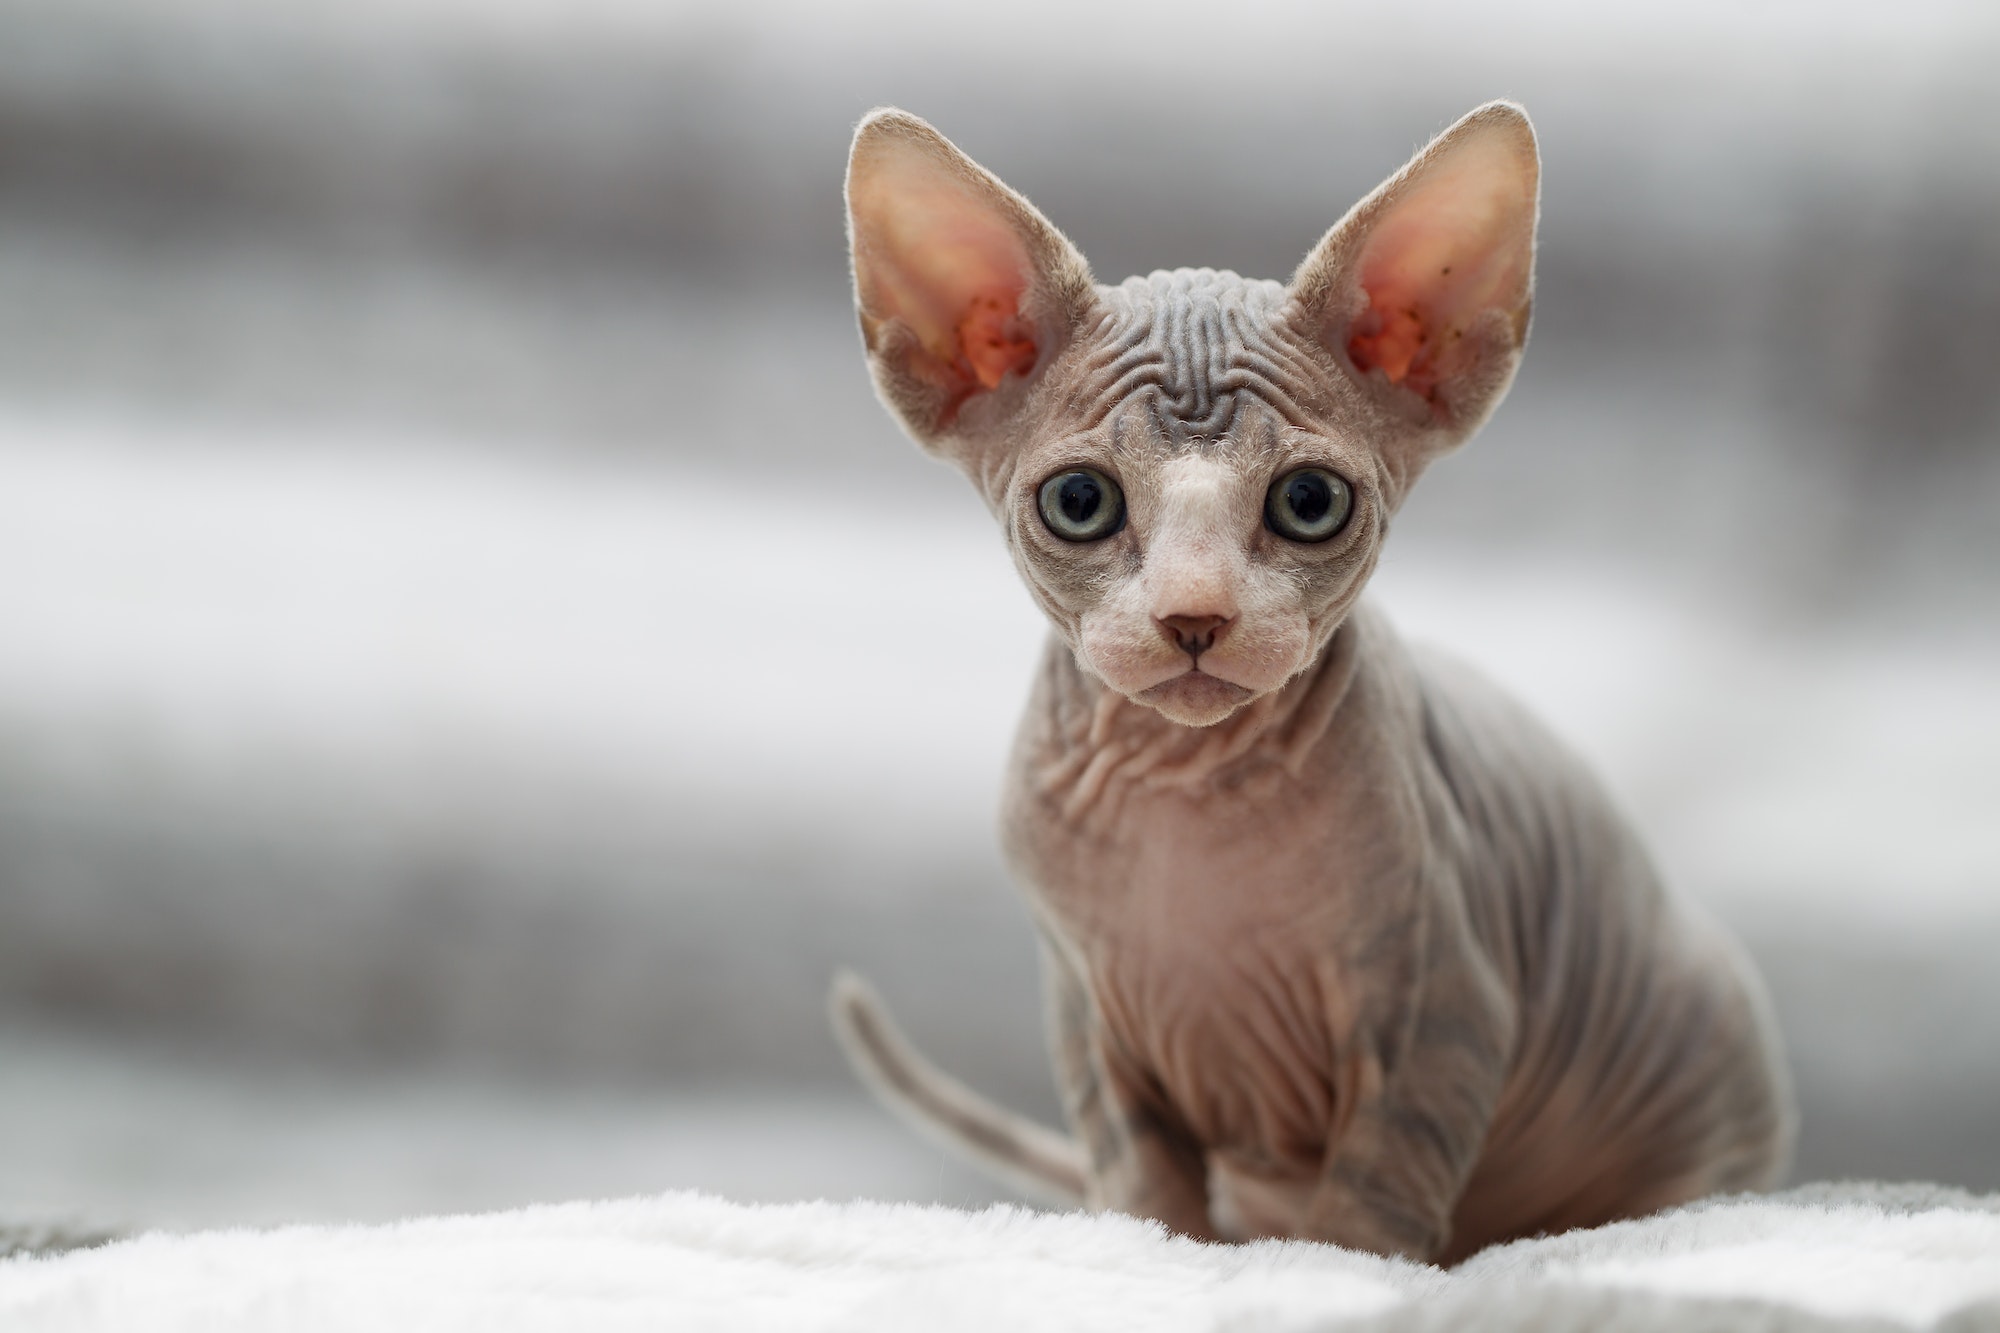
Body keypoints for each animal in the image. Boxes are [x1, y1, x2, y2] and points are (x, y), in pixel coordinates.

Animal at [820, 101, 1792, 1256]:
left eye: (1309, 502)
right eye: (1079, 502)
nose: (1193, 614)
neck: (1183, 793)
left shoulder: (1442, 1007)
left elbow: (1370, 1198)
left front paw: (1327, 1269)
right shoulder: (1089, 1021)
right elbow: (1143, 1189)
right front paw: (1159, 1255)